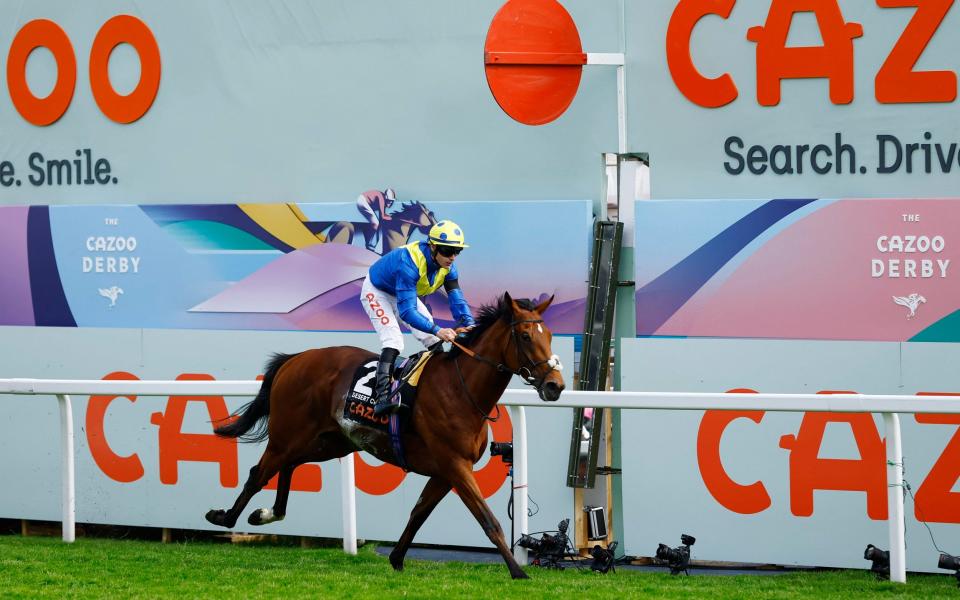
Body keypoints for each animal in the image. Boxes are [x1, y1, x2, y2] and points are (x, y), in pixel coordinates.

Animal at [202, 292, 564, 580]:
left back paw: (265, 513)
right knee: (258, 473)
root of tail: (295, 359)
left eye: (549, 335)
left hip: (328, 442)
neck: (461, 389)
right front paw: (518, 572)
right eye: (526, 336)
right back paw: (224, 516)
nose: (555, 385)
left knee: (288, 466)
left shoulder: (446, 471)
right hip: (288, 435)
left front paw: (396, 558)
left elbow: (418, 512)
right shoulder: (455, 465)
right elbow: (488, 520)